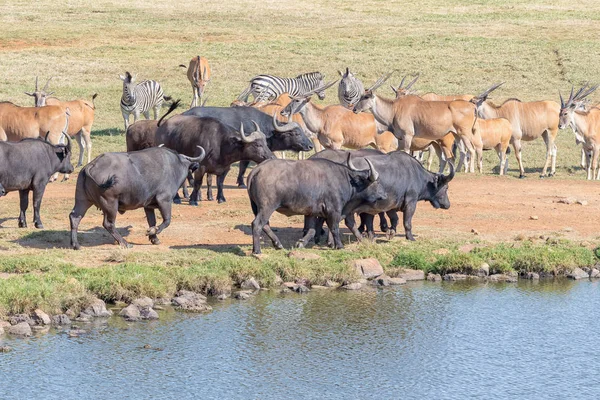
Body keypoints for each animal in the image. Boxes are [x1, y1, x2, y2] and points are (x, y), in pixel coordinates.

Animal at [69, 145, 206, 248]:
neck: (175, 165)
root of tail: (91, 166)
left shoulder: (148, 206)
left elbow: (152, 221)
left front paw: (154, 238)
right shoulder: (164, 200)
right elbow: (167, 221)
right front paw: (152, 231)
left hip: (83, 200)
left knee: (75, 217)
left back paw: (76, 245)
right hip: (110, 204)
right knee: (108, 223)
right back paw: (125, 243)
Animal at [246, 155, 386, 253]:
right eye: (377, 182)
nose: (384, 195)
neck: (346, 180)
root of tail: (257, 169)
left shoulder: (311, 212)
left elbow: (312, 230)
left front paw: (301, 243)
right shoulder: (334, 210)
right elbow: (334, 228)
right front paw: (339, 246)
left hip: (256, 207)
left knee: (265, 225)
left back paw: (278, 244)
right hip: (267, 207)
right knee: (257, 224)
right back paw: (257, 250)